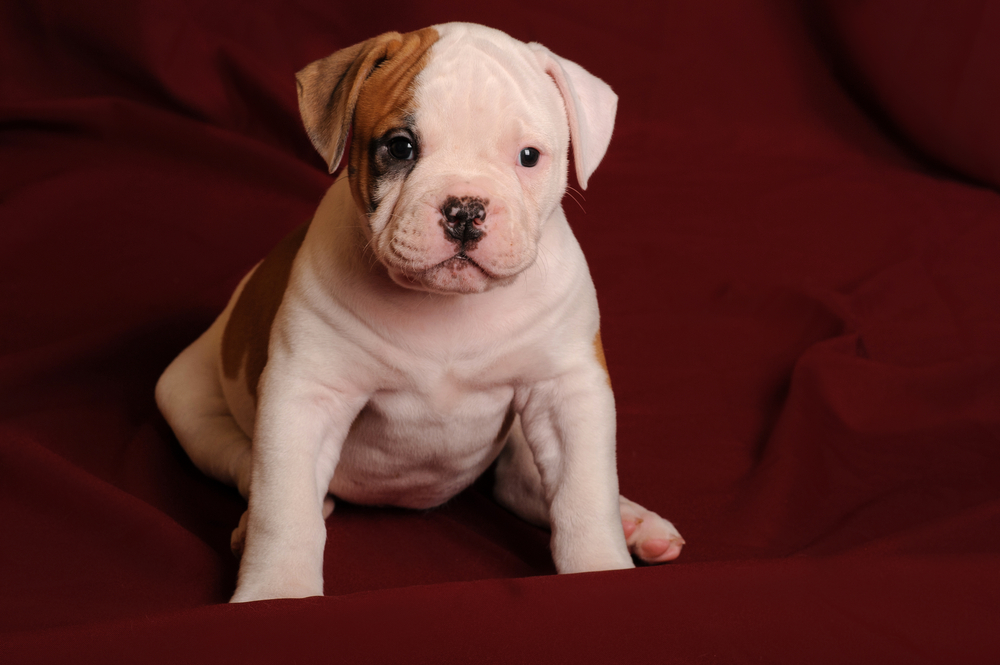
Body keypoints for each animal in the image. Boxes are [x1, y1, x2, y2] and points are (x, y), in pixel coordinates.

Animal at [156, 20, 684, 600]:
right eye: (401, 147)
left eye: (528, 156)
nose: (465, 210)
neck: (446, 309)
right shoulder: (306, 393)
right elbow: (286, 510)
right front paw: (277, 593)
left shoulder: (565, 390)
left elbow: (583, 495)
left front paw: (601, 569)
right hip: (186, 398)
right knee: (244, 463)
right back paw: (253, 518)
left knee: (523, 482)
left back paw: (633, 522)